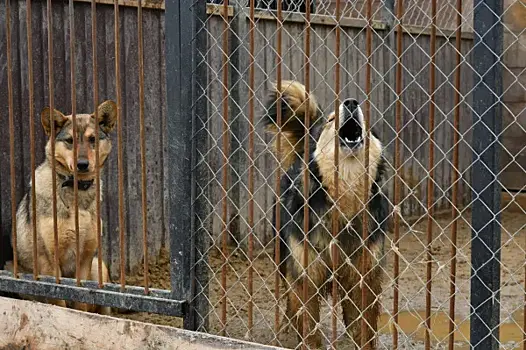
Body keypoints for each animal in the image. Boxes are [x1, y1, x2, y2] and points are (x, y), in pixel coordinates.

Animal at [12, 100, 118, 312]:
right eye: (69, 140)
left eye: (93, 139)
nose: (82, 164)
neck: (77, 191)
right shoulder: (48, 260)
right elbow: (59, 302)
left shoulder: (85, 258)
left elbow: (81, 302)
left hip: (99, 267)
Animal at [264, 81, 392, 348]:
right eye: (331, 120)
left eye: (367, 122)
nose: (351, 102)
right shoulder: (306, 275)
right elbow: (309, 327)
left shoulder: (365, 277)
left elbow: (364, 328)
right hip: (284, 258)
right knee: (289, 299)